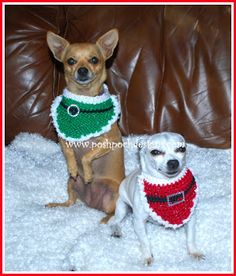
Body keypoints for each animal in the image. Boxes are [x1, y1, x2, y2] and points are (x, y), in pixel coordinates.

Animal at [45, 28, 124, 222]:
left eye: (94, 60)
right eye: (71, 61)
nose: (82, 70)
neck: (84, 98)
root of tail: (93, 204)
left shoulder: (110, 140)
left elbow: (86, 156)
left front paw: (88, 173)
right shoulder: (63, 138)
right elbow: (69, 152)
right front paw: (73, 167)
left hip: (114, 192)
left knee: (114, 212)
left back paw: (105, 221)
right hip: (71, 184)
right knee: (70, 202)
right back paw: (57, 205)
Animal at [110, 133, 205, 266]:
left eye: (181, 149)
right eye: (155, 152)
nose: (173, 162)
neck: (167, 183)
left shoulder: (190, 217)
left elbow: (191, 237)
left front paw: (194, 252)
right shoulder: (138, 221)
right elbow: (144, 241)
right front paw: (147, 256)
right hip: (122, 207)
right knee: (114, 221)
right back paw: (116, 230)